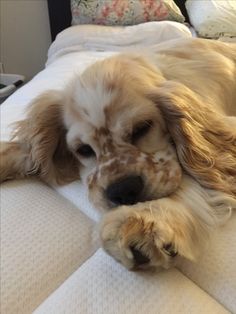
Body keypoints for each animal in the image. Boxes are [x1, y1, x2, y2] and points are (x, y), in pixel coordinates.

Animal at [0, 38, 236, 270]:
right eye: (83, 150)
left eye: (142, 127)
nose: (123, 191)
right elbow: (31, 151)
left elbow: (192, 175)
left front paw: (145, 220)